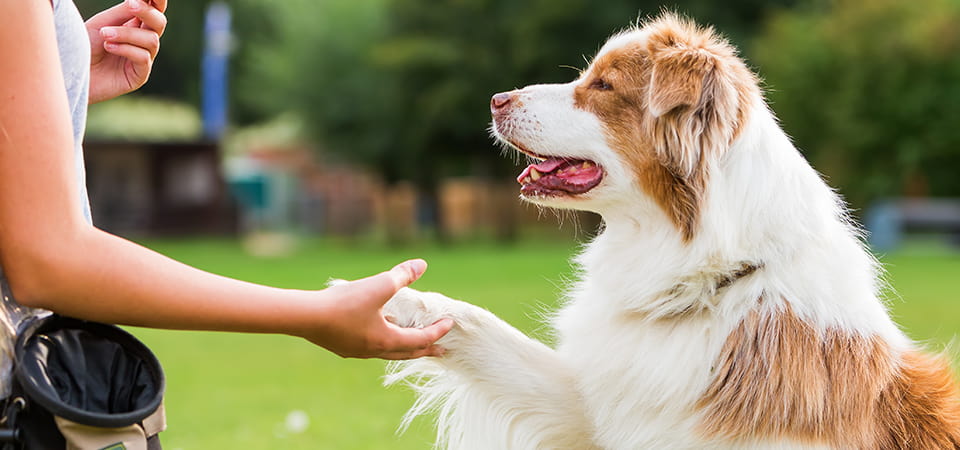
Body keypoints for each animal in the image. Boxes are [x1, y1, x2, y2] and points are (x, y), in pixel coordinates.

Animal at [382, 12, 960, 448]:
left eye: (603, 85)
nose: (496, 99)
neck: (704, 281)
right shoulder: (602, 410)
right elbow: (481, 326)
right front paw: (393, 301)